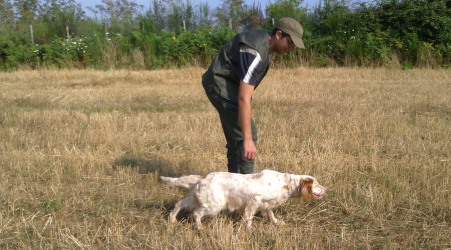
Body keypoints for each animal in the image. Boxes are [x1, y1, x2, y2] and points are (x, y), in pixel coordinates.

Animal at [161, 169, 326, 229]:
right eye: (317, 184)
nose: (326, 190)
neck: (286, 183)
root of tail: (203, 177)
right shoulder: (255, 201)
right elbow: (248, 218)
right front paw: (249, 229)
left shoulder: (267, 204)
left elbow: (271, 214)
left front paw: (277, 222)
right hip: (214, 205)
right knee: (196, 213)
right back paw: (200, 227)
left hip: (195, 197)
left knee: (179, 204)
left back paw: (172, 219)